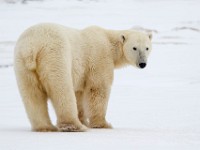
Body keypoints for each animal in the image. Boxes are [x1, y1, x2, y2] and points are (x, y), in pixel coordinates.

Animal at [13, 23, 152, 131]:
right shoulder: (100, 58)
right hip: (55, 56)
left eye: (147, 48)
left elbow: (79, 93)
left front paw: (84, 120)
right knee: (62, 90)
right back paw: (73, 126)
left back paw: (45, 127)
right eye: (134, 48)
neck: (109, 41)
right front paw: (103, 124)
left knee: (32, 95)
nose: (142, 64)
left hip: (23, 65)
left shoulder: (82, 73)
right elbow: (98, 89)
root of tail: (32, 47)